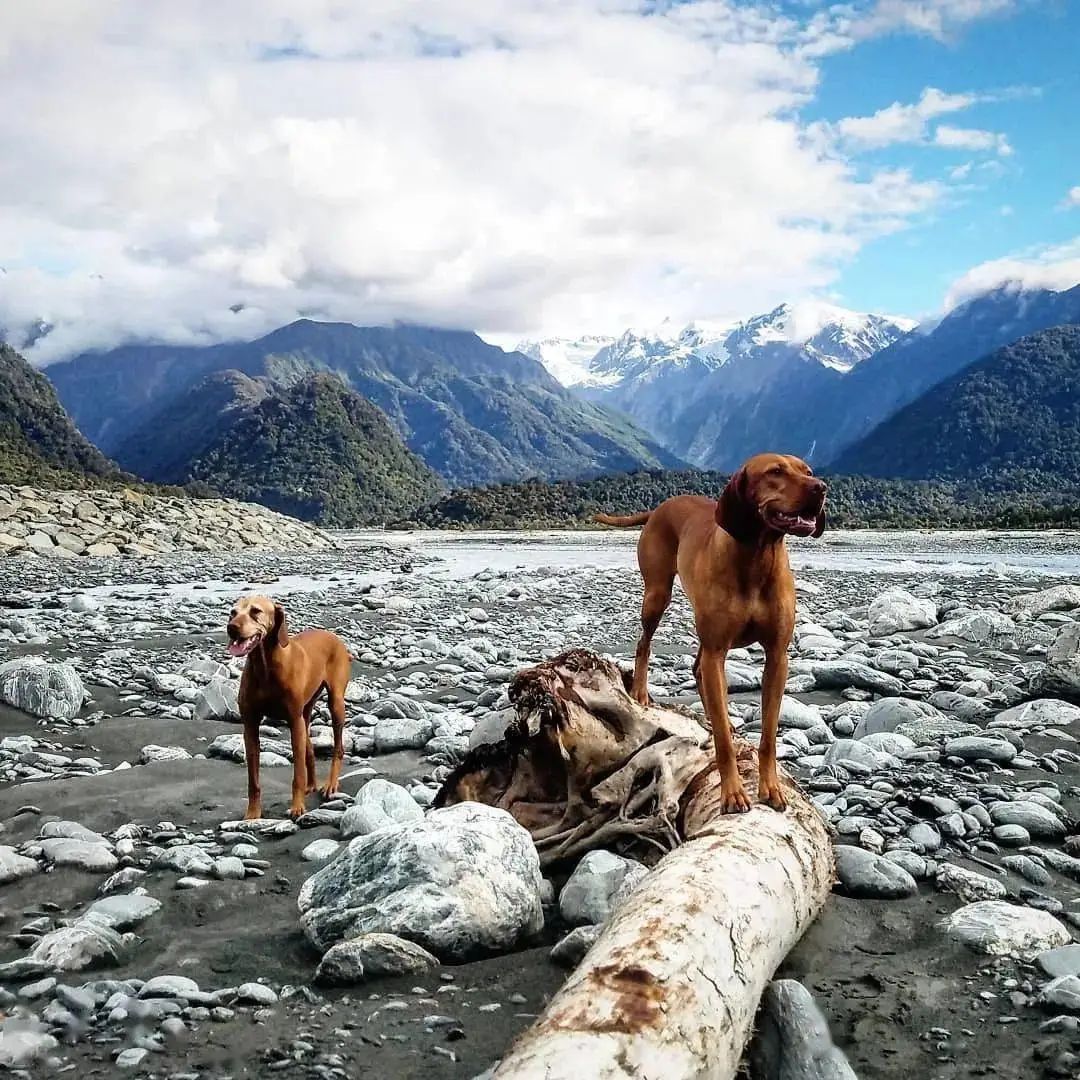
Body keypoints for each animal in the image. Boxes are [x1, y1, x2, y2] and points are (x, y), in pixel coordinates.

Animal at [226, 600, 352, 816]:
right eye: (233, 613)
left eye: (255, 611)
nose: (231, 628)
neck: (265, 665)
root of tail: (332, 636)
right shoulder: (250, 726)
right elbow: (253, 780)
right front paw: (252, 814)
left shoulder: (293, 720)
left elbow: (297, 774)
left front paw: (297, 807)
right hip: (305, 714)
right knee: (309, 749)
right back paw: (312, 784)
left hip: (335, 705)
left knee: (338, 748)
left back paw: (330, 784)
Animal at [600, 451, 825, 812]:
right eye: (775, 471)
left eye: (808, 470)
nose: (820, 487)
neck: (757, 558)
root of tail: (661, 507)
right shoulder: (718, 650)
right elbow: (722, 741)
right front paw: (732, 792)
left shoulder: (777, 656)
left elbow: (768, 735)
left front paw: (771, 787)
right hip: (657, 596)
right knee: (644, 644)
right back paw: (640, 691)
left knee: (696, 667)